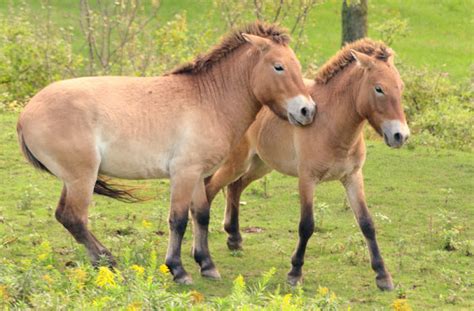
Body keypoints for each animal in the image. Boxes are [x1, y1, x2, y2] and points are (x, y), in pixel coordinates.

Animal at [16, 22, 316, 286]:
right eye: (278, 67)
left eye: (297, 67)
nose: (307, 111)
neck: (209, 99)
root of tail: (26, 114)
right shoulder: (183, 174)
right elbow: (178, 220)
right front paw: (178, 269)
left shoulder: (197, 175)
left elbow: (201, 214)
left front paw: (206, 264)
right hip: (82, 178)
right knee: (74, 218)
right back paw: (108, 261)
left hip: (74, 180)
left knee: (65, 217)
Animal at [206, 39, 410, 292]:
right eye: (379, 89)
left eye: (400, 87)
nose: (400, 136)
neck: (331, 123)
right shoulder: (307, 179)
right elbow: (307, 225)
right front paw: (295, 272)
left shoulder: (353, 177)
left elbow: (367, 223)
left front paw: (383, 275)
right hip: (238, 162)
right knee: (210, 188)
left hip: (259, 165)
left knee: (234, 188)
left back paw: (234, 239)